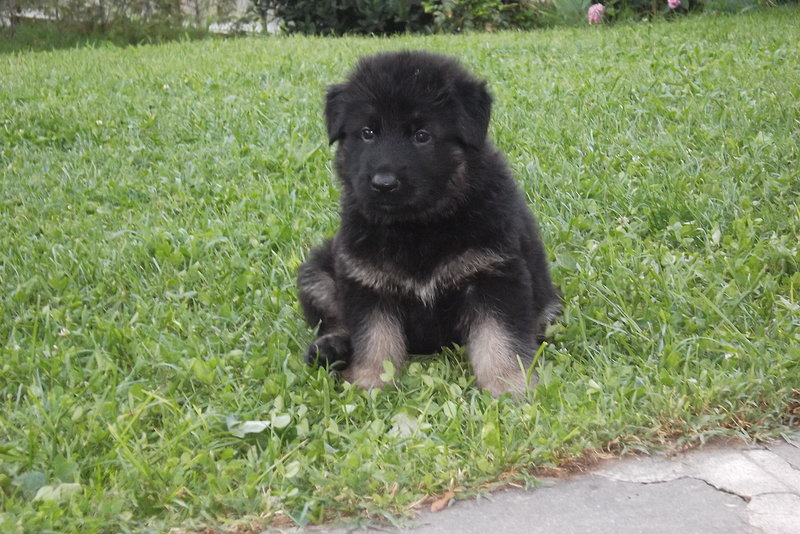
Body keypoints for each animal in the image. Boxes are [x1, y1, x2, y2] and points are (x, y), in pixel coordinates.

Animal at [296, 51, 560, 398]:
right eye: (367, 132)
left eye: (422, 136)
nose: (383, 183)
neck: (418, 226)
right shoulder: (366, 279)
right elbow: (373, 336)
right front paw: (369, 379)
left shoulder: (494, 275)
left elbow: (499, 336)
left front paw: (508, 384)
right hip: (318, 271)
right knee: (334, 319)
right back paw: (330, 349)